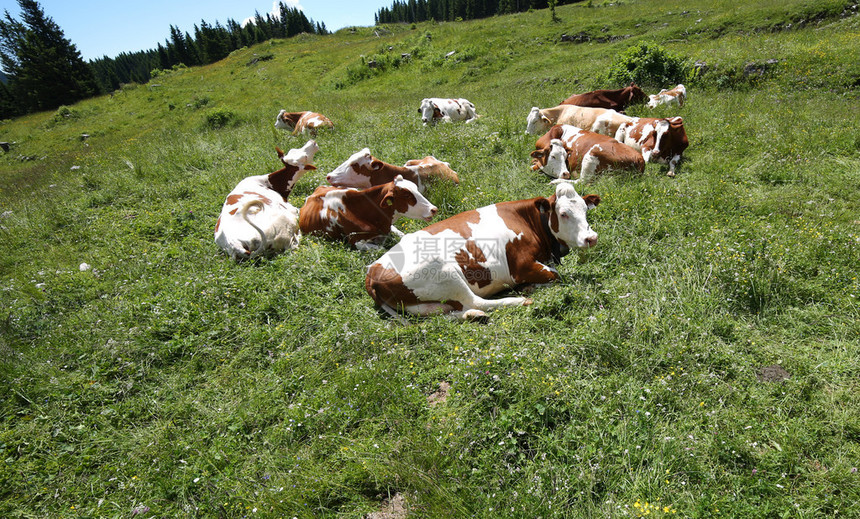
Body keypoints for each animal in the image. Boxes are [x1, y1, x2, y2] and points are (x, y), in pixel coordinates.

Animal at [366, 182, 600, 320]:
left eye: (585, 210)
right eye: (563, 213)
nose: (591, 238)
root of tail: (372, 273)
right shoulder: (521, 267)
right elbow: (556, 275)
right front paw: (529, 287)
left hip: (426, 304)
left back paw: (474, 315)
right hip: (445, 273)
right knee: (476, 301)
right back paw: (519, 300)